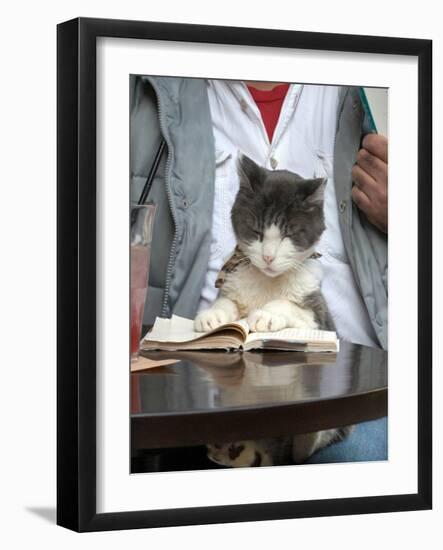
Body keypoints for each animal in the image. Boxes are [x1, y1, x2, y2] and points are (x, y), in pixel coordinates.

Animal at [196, 156, 352, 470]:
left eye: (289, 233)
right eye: (256, 232)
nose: (268, 257)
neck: (267, 283)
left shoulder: (319, 313)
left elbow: (291, 306)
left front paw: (265, 315)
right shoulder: (234, 280)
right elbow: (228, 301)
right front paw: (213, 317)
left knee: (304, 449)